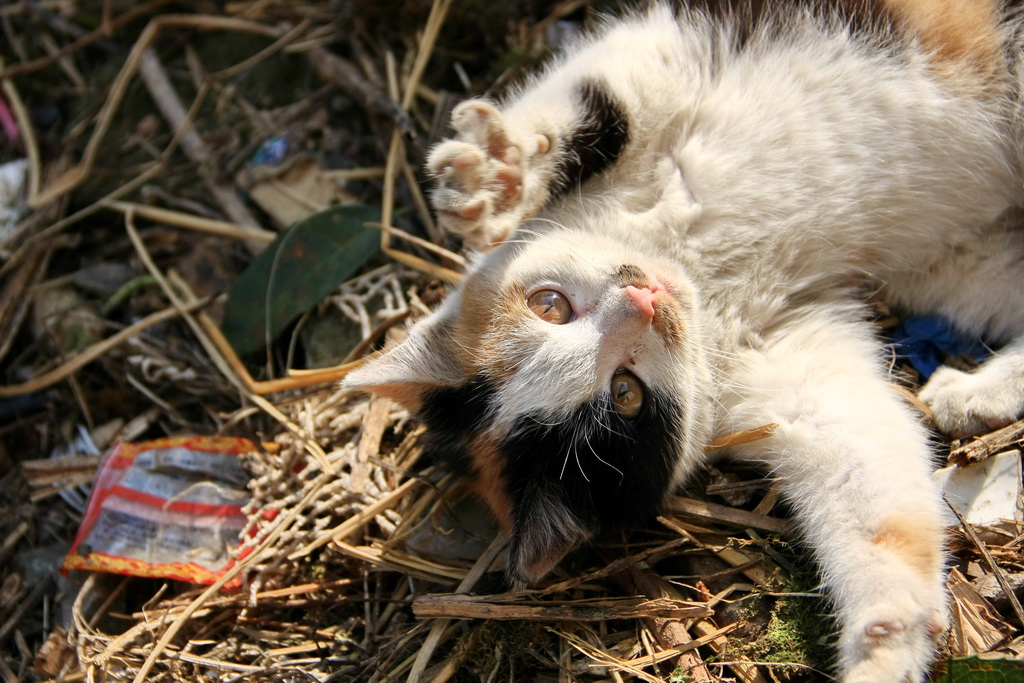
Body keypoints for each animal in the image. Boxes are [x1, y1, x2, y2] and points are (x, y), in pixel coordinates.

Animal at [342, 2, 1024, 679]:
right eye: (625, 393)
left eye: (548, 305)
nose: (644, 300)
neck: (697, 267)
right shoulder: (787, 372)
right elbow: (868, 476)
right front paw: (884, 642)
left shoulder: (667, 56)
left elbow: (601, 101)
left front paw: (496, 176)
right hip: (962, 264)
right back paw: (977, 393)